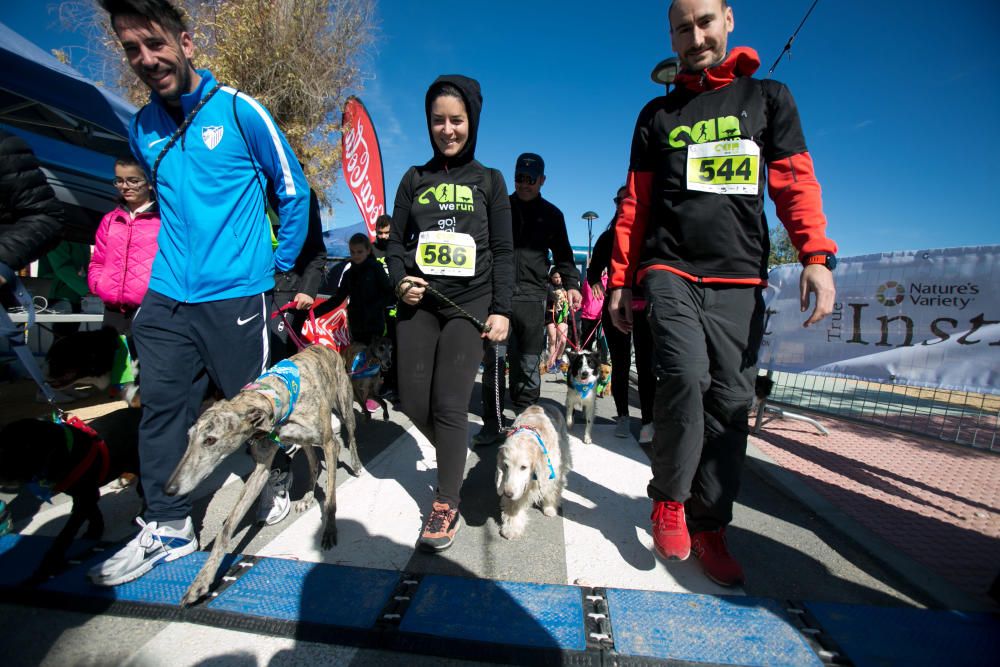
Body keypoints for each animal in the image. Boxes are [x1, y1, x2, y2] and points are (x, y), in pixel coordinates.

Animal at [0, 408, 143, 580]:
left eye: (23, 448)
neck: (67, 452)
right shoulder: (81, 494)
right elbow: (92, 511)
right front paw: (95, 531)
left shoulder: (86, 494)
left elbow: (66, 532)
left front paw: (50, 561)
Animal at [494, 402, 572, 536]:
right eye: (506, 466)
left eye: (523, 467)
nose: (507, 494)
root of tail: (545, 404)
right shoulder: (516, 486)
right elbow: (514, 504)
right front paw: (512, 528)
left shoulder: (552, 472)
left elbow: (551, 490)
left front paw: (550, 508)